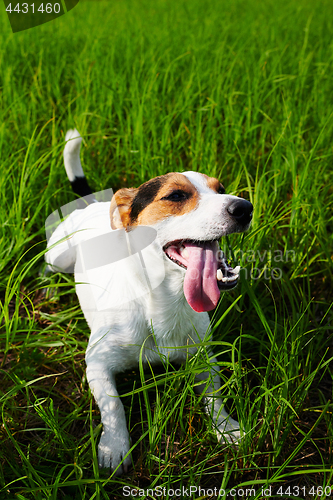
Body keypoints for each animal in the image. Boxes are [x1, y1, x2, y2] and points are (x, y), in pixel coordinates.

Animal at [44, 128, 252, 472]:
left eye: (221, 189)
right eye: (176, 196)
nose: (244, 207)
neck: (161, 302)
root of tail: (95, 203)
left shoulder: (203, 357)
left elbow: (214, 397)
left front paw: (226, 427)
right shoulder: (97, 363)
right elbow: (113, 407)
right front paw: (115, 446)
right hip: (57, 255)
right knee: (46, 266)